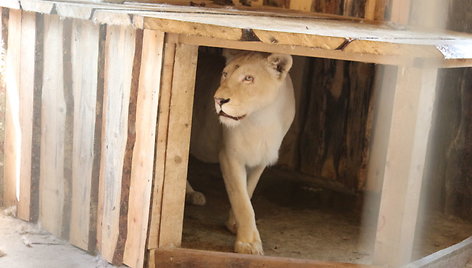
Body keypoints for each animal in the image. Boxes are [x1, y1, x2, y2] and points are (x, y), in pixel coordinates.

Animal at [189, 50, 296, 255]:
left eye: (248, 78)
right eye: (225, 74)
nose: (219, 100)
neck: (262, 119)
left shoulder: (260, 160)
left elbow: (248, 191)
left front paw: (234, 224)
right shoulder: (230, 156)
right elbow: (242, 200)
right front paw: (248, 243)